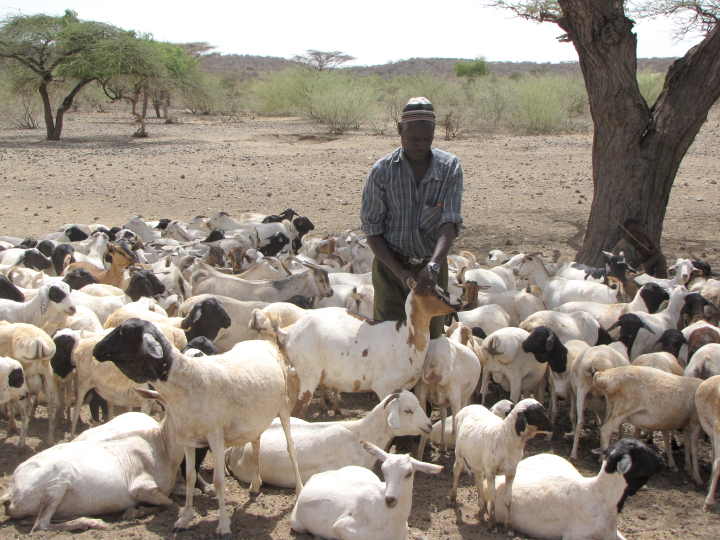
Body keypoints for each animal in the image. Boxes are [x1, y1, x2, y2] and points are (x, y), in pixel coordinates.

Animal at [290, 440, 442, 540]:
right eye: (384, 470)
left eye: (409, 473)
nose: (390, 499)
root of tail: (315, 477)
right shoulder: (342, 527)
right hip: (297, 524)